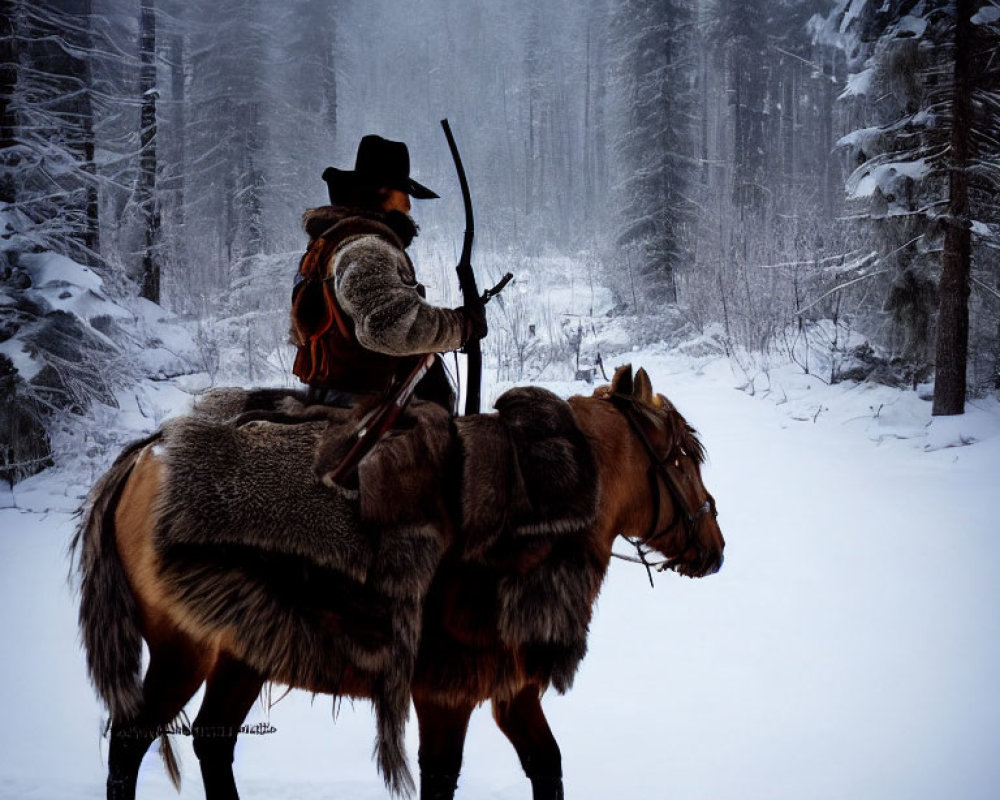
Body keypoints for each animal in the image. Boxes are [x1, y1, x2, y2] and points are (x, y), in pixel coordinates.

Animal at [74, 364, 724, 800]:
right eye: (682, 457)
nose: (715, 550)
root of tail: (146, 453)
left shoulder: (512, 692)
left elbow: (547, 765)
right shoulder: (446, 693)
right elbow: (440, 779)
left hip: (244, 648)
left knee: (212, 740)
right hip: (183, 650)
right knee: (129, 742)